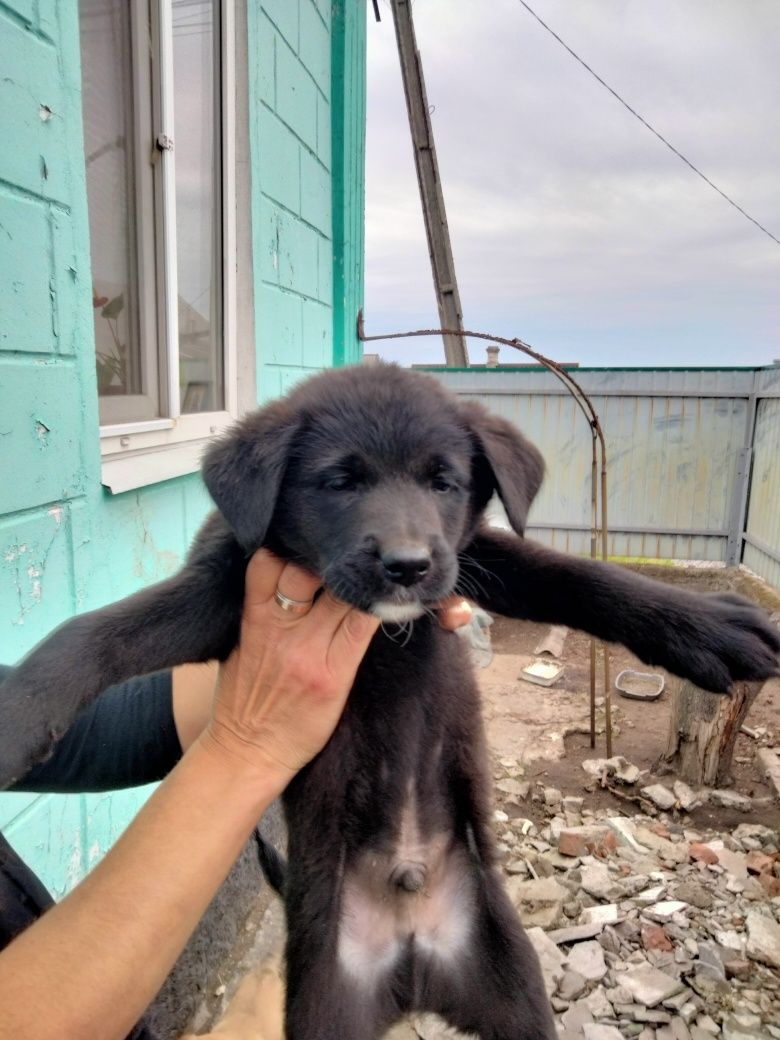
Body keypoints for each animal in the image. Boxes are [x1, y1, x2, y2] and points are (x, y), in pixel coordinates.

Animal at [1, 366, 780, 1040]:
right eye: (339, 481)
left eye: (444, 480)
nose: (407, 565)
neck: (378, 626)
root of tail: (412, 955)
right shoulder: (223, 586)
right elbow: (100, 628)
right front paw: (21, 708)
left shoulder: (473, 558)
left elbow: (580, 575)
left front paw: (710, 627)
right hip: (323, 1005)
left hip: (516, 988)